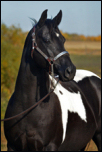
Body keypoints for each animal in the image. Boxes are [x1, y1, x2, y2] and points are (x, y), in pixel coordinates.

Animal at [3, 9, 100, 151]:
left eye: (63, 39)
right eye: (46, 39)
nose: (70, 70)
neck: (28, 106)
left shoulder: (50, 146)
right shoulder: (12, 146)